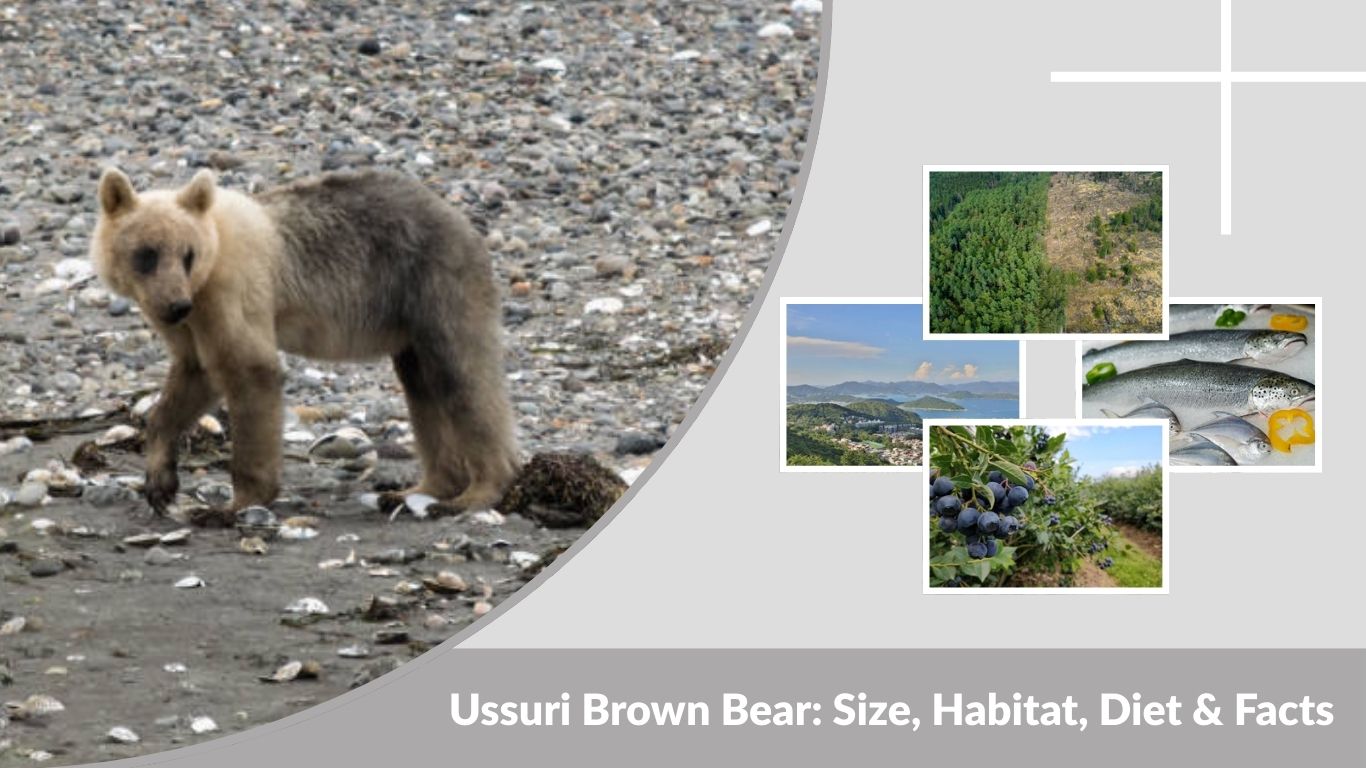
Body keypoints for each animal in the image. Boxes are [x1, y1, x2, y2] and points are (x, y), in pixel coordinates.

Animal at [89, 167, 519, 523]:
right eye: (147, 254)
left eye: (187, 254)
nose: (176, 304)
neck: (210, 267)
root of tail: (465, 224)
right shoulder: (195, 325)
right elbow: (191, 380)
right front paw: (159, 483)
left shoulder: (232, 294)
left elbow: (251, 370)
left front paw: (233, 504)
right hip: (411, 322)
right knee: (422, 390)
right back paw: (414, 490)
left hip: (434, 287)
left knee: (462, 378)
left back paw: (474, 493)